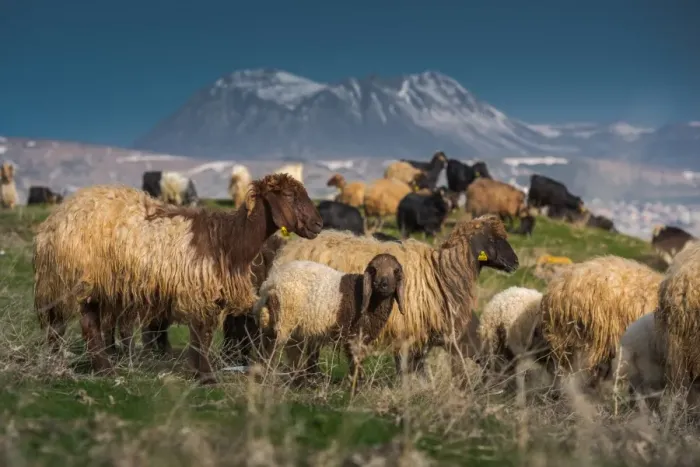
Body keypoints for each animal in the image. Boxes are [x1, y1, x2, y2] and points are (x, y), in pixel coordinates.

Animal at [33, 173, 323, 384]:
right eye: (289, 195)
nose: (318, 225)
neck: (228, 239)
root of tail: (54, 220)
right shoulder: (200, 291)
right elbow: (203, 334)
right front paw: (206, 376)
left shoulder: (205, 292)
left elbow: (199, 335)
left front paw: (197, 371)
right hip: (77, 277)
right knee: (80, 324)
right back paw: (96, 368)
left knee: (73, 323)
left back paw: (89, 366)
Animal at [253, 253, 406, 382]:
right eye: (374, 270)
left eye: (396, 271)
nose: (382, 285)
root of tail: (270, 282)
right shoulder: (353, 337)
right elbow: (354, 362)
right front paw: (356, 385)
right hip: (284, 318)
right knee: (272, 349)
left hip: (274, 319)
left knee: (272, 347)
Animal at [271, 215, 519, 376]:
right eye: (493, 240)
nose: (515, 263)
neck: (440, 271)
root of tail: (289, 250)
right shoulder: (408, 327)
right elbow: (408, 367)